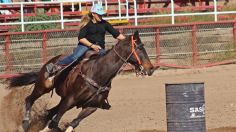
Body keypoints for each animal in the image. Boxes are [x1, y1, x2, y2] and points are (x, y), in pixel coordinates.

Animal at [7, 30, 155, 131]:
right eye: (139, 48)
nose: (150, 68)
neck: (98, 73)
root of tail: (50, 61)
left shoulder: (91, 107)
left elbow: (74, 122)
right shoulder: (69, 100)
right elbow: (56, 121)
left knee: (50, 112)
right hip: (44, 87)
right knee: (29, 100)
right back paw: (25, 123)